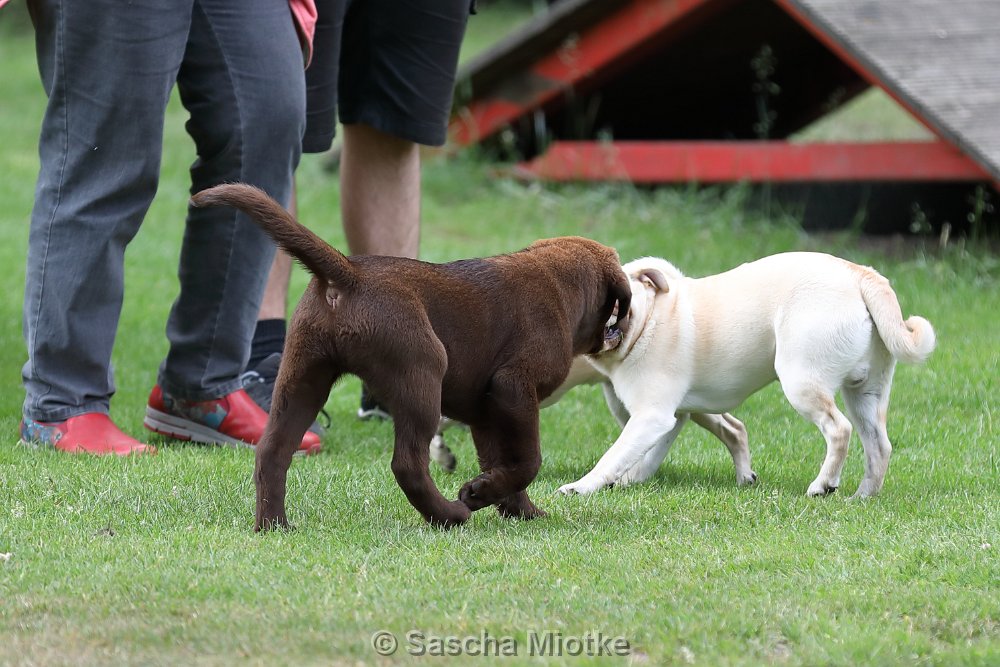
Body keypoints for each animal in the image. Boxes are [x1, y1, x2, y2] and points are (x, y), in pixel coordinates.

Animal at [190, 184, 631, 529]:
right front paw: (476, 496)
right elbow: (528, 460)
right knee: (406, 463)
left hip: (302, 376)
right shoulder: (514, 389)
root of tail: (349, 274)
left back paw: (274, 525)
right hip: (422, 371)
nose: (622, 330)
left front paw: (515, 508)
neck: (559, 284)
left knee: (272, 452)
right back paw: (448, 516)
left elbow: (502, 461)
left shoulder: (487, 410)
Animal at [557, 253, 935, 499]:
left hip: (801, 382)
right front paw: (628, 479)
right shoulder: (674, 415)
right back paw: (863, 496)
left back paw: (823, 485)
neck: (648, 320)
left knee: (838, 429)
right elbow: (644, 456)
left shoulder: (653, 416)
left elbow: (613, 456)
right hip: (865, 395)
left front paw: (583, 486)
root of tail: (859, 273)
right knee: (878, 445)